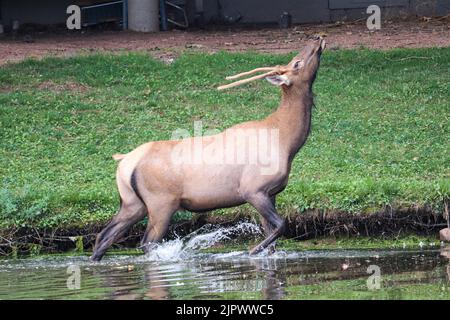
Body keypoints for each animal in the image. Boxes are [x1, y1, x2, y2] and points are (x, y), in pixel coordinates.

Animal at [91, 38, 326, 262]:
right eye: (297, 63)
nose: (317, 38)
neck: (287, 142)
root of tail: (125, 161)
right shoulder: (253, 189)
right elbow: (281, 225)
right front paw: (251, 251)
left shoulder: (272, 192)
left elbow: (273, 239)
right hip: (161, 203)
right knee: (146, 242)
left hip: (132, 203)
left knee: (104, 236)